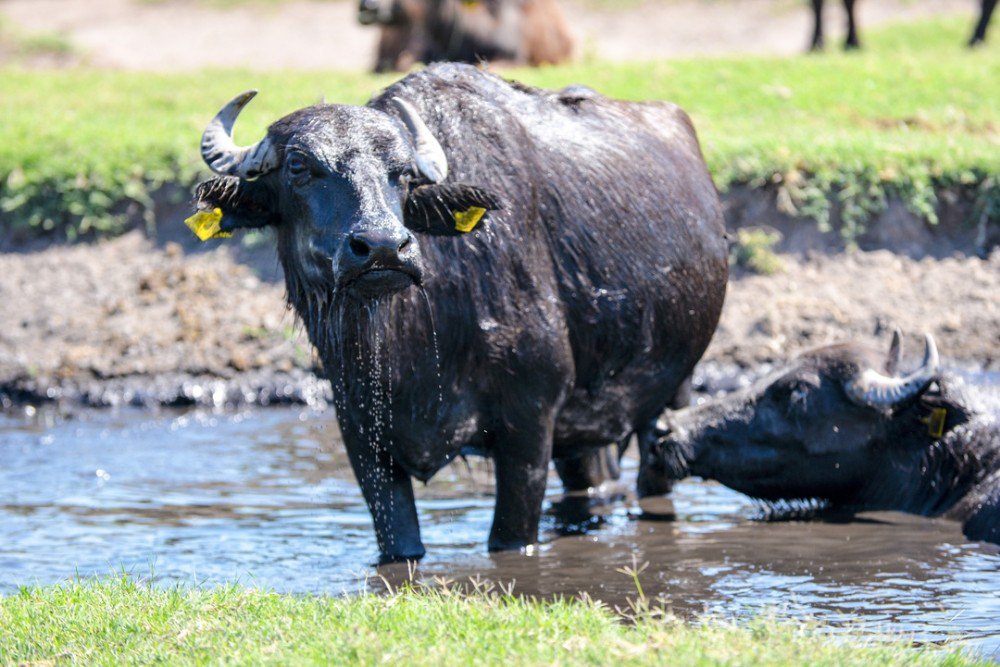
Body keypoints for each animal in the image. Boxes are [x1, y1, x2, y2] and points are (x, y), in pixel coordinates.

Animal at [191, 64, 732, 564]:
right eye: (299, 167)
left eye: (403, 173)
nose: (383, 247)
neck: (412, 339)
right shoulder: (362, 436)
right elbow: (399, 545)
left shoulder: (529, 427)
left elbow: (511, 538)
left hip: (674, 393)